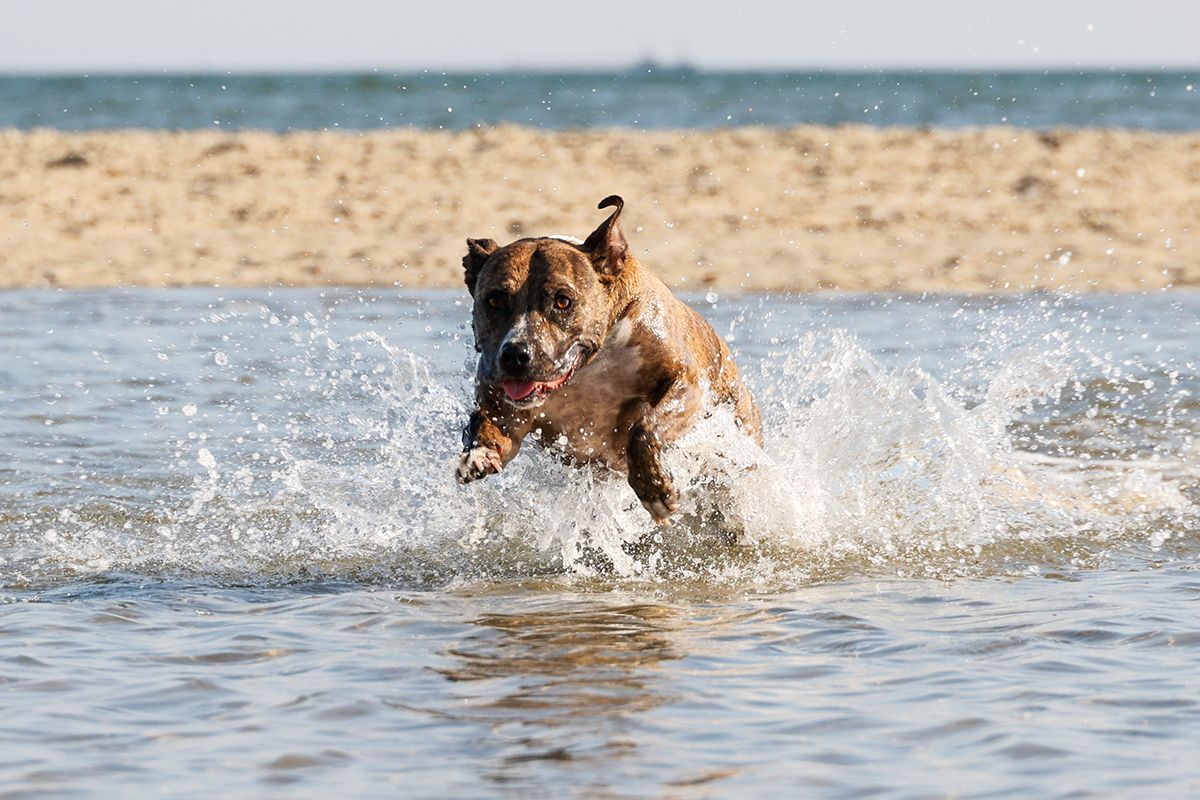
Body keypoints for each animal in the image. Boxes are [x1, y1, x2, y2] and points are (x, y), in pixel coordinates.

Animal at [453, 193, 763, 520]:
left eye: (563, 301)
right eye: (494, 301)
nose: (515, 354)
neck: (590, 367)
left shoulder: (686, 384)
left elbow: (645, 428)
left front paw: (654, 488)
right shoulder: (505, 415)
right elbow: (488, 429)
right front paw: (477, 455)